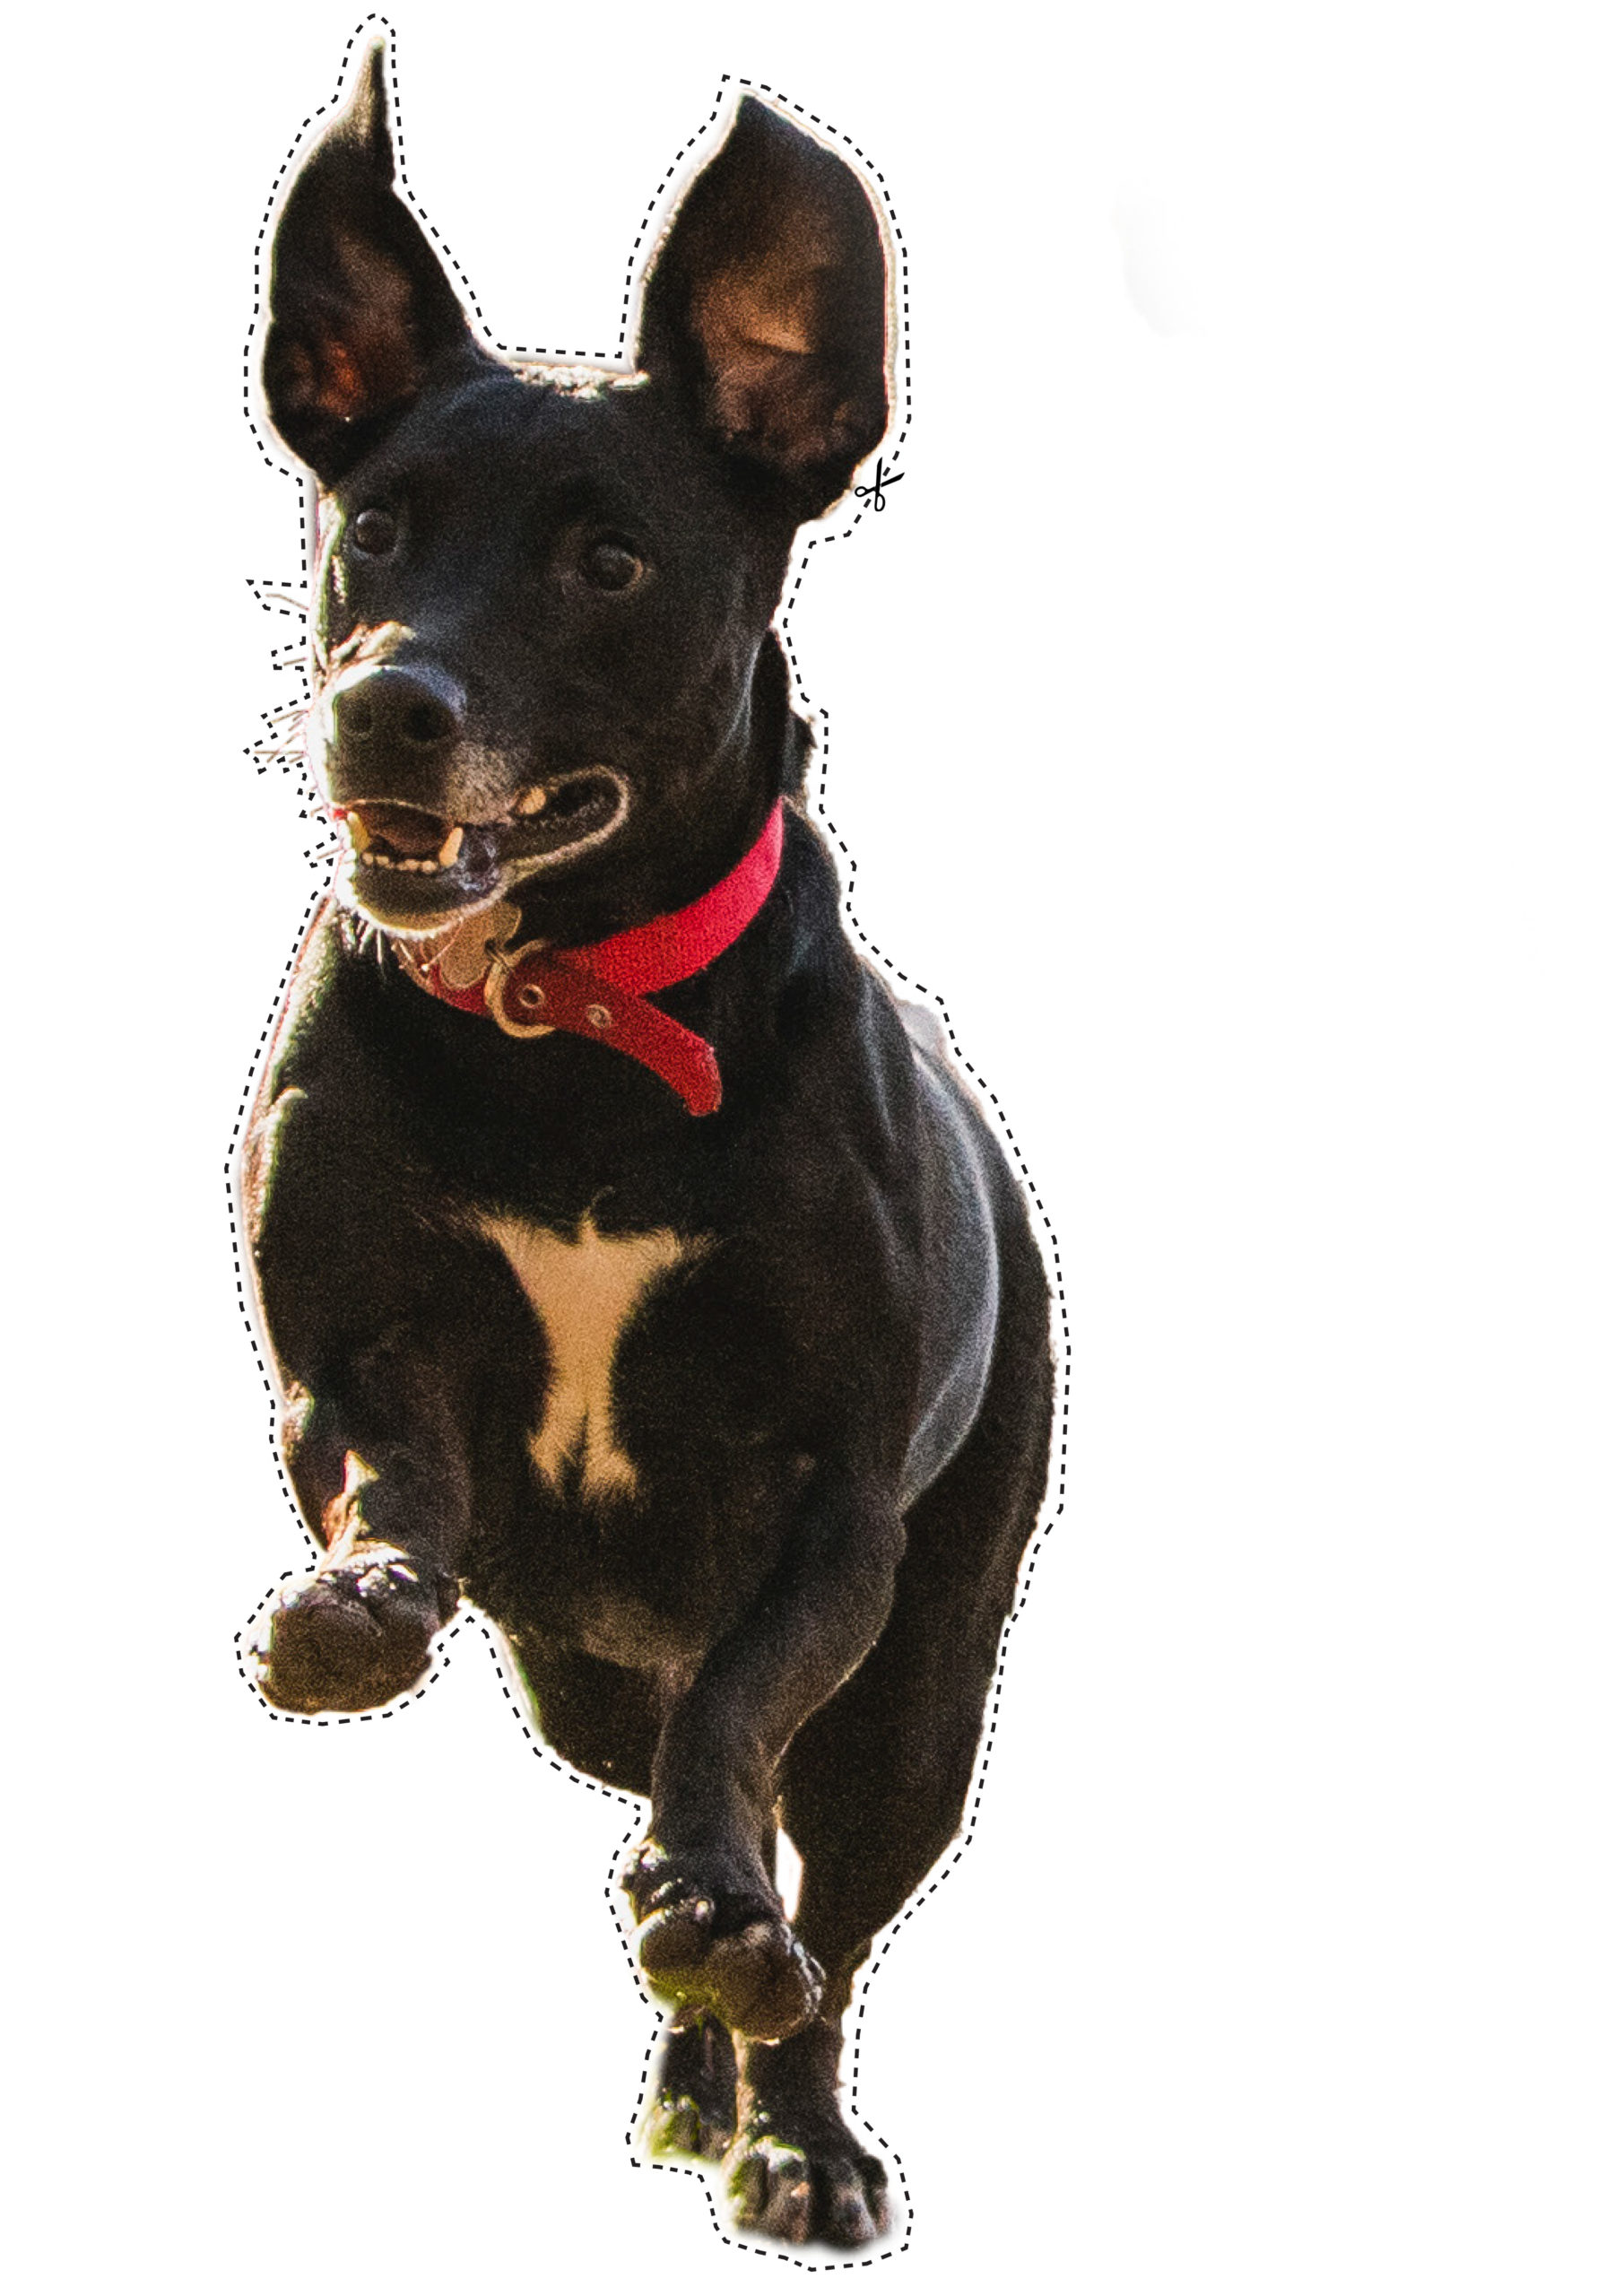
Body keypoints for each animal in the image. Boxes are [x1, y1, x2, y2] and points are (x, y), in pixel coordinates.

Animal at [243, 40, 1054, 2249]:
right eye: (377, 527)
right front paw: (363, 1602)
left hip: (923, 1701)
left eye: (607, 563)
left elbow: (741, 1708)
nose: (385, 706)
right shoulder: (352, 1358)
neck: (571, 1027)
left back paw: (787, 2109)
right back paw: (701, 2063)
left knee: (818, 1901)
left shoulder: (834, 1504)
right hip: (575, 1675)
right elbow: (396, 1476)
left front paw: (711, 1901)